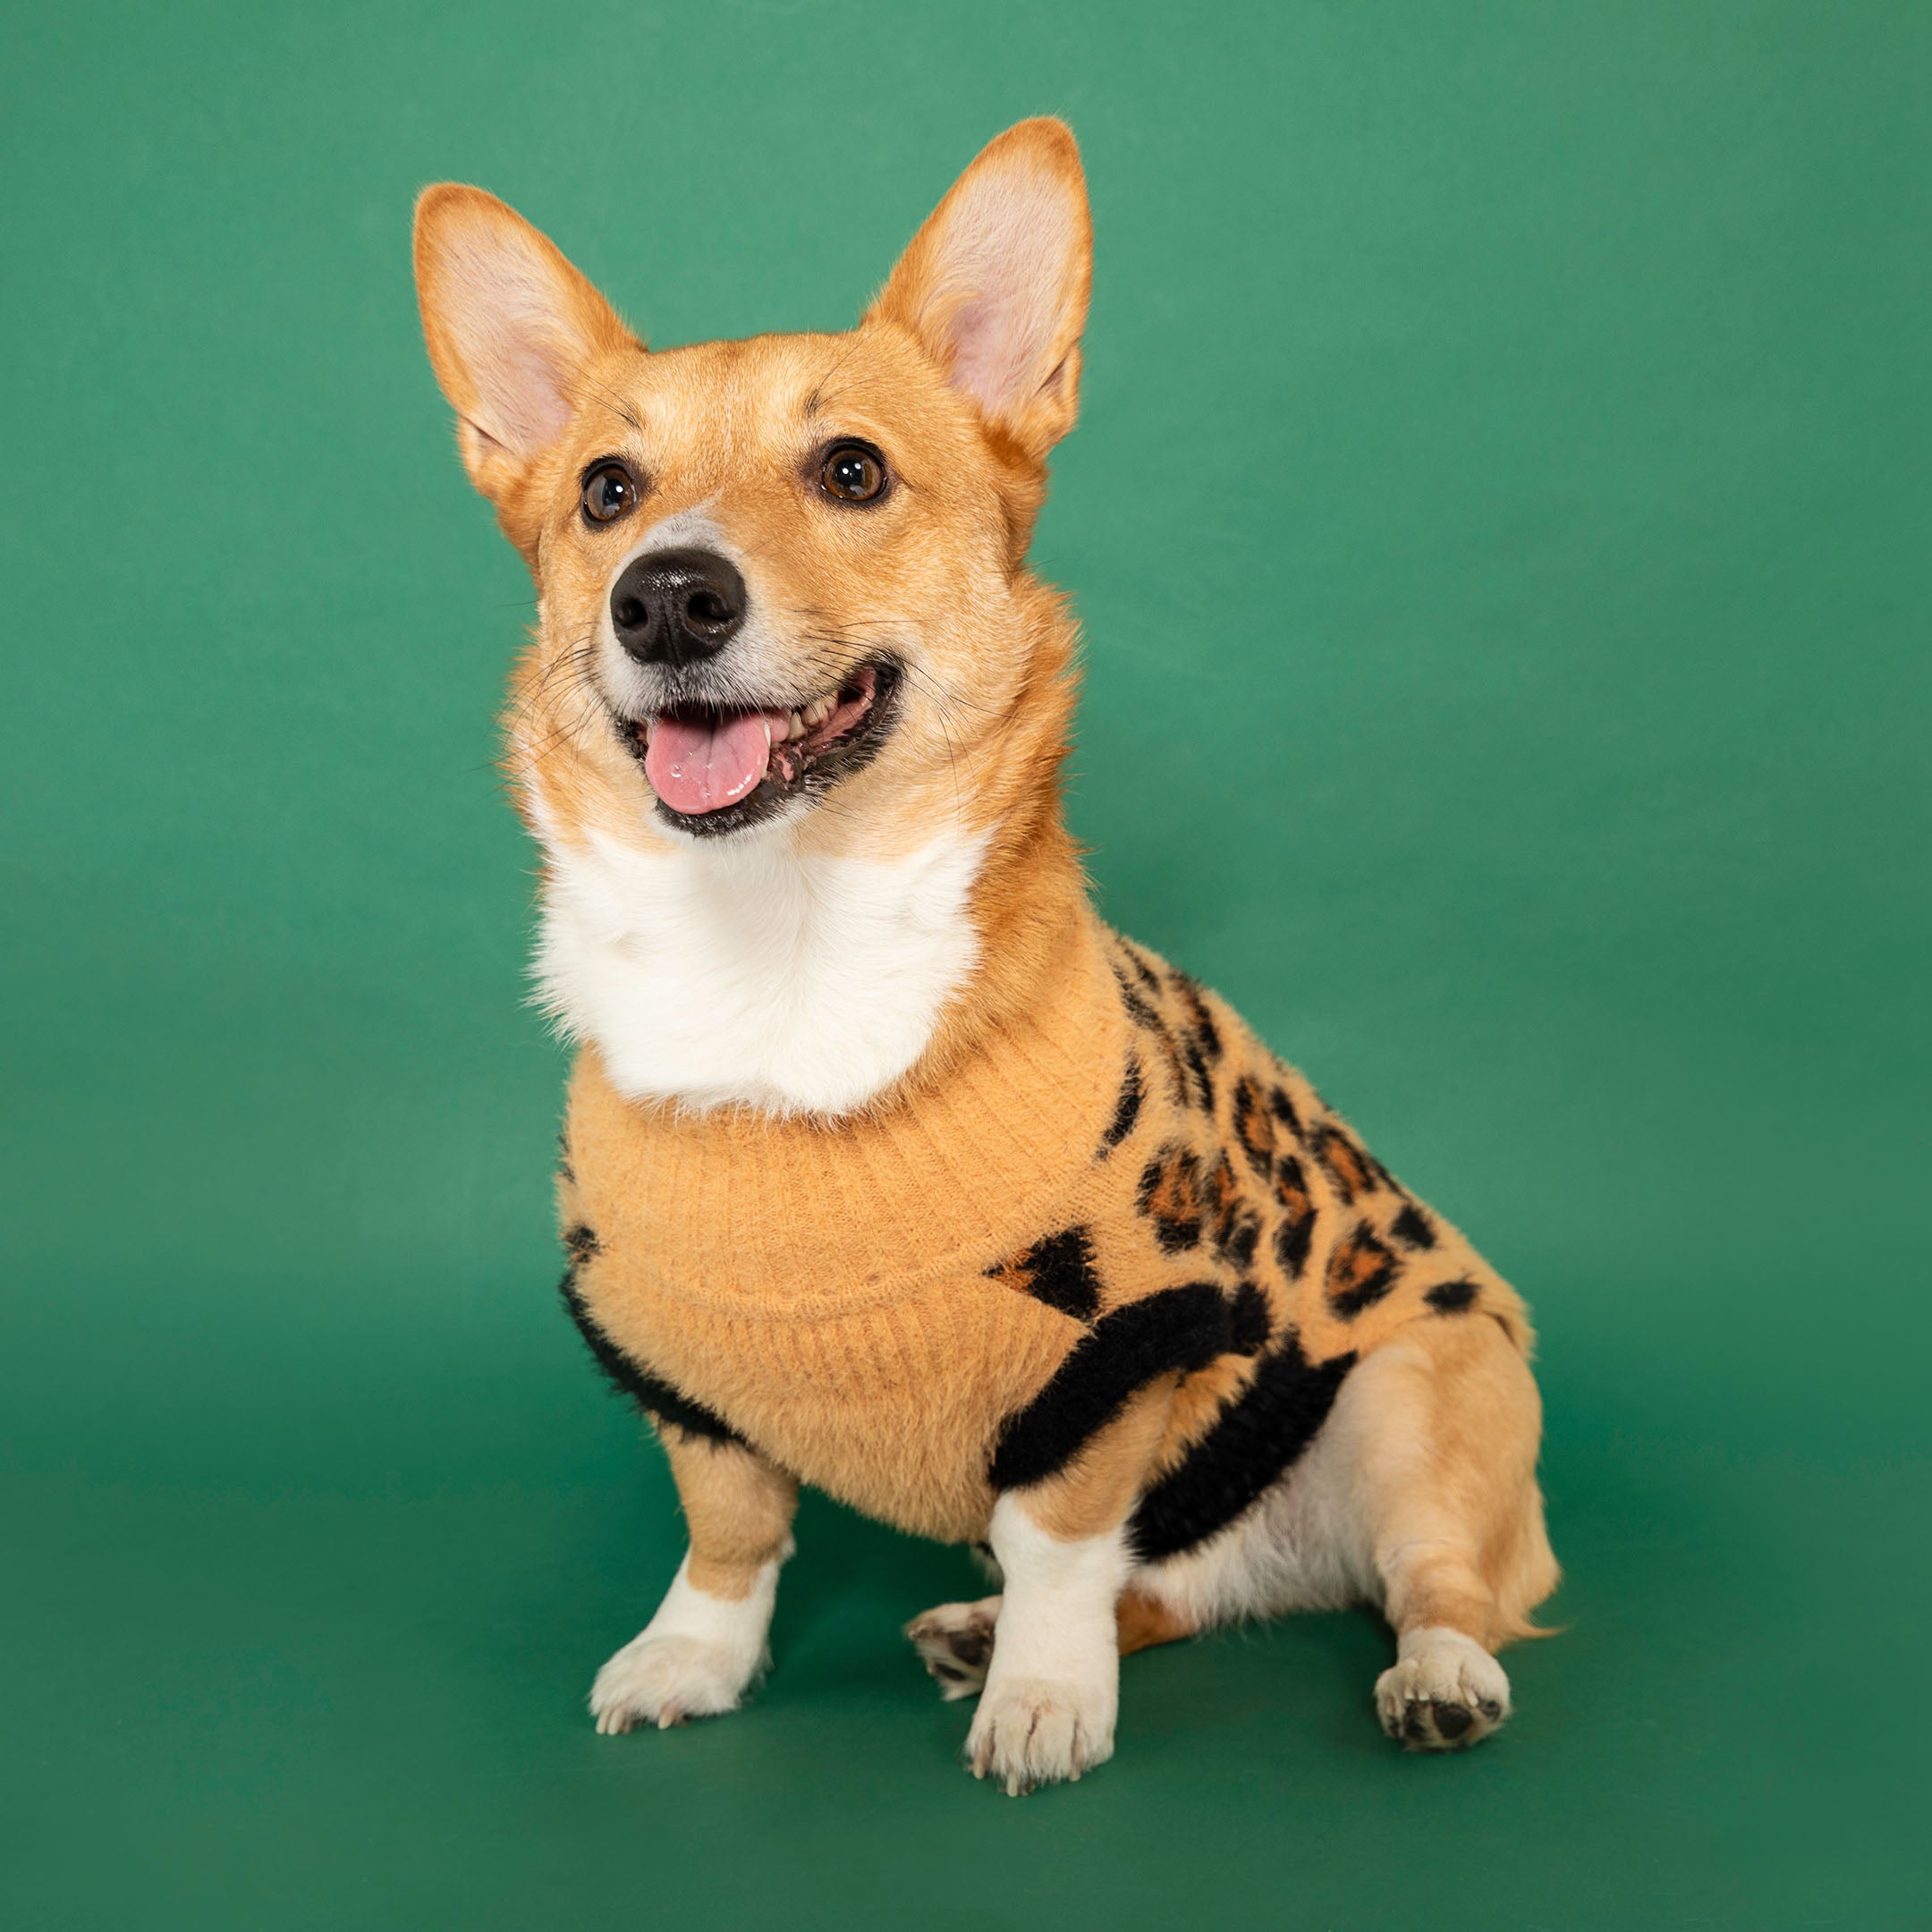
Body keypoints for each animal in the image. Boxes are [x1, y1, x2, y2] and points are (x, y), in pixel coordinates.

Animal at [415, 116, 1561, 1792]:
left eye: (853, 471)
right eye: (608, 491)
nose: (668, 596)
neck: (782, 942)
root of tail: (1287, 1570)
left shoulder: (1114, 1361)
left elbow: (1060, 1539)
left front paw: (1043, 1700)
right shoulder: (678, 1375)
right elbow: (729, 1534)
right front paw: (693, 1660)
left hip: (1416, 1400)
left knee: (1433, 1578)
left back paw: (1432, 1676)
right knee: (1173, 1591)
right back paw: (982, 1630)